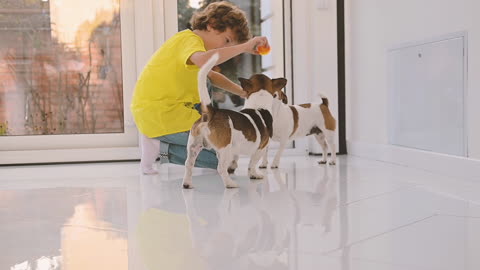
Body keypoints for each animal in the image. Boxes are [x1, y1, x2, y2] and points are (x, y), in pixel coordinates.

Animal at [182, 53, 286, 189]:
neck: (259, 104)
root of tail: (211, 112)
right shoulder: (261, 147)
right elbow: (252, 164)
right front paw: (254, 175)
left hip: (194, 146)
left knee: (188, 164)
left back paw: (187, 183)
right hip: (225, 149)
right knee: (221, 168)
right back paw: (230, 184)